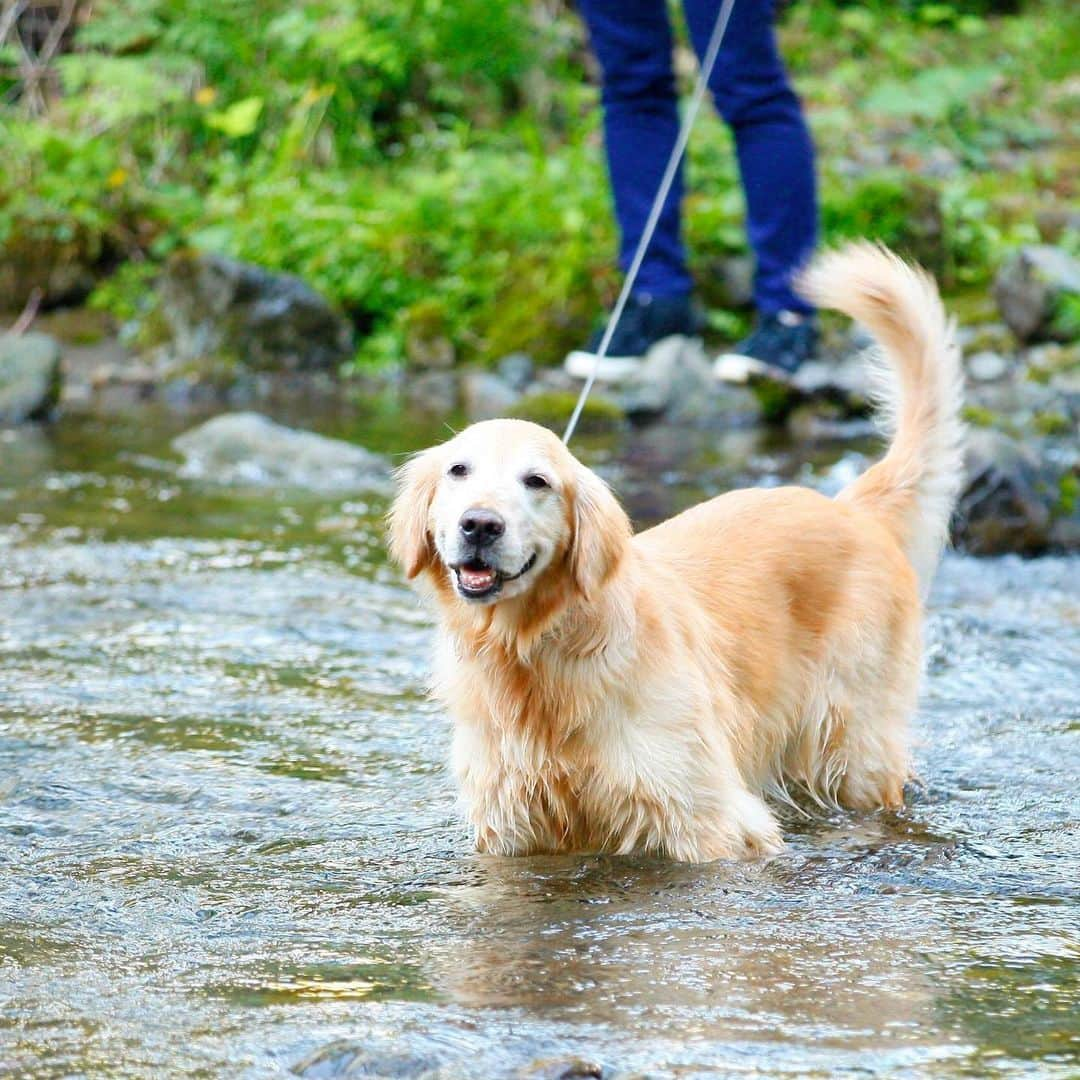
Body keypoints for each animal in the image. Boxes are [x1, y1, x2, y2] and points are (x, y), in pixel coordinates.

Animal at [388, 245, 963, 859]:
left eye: (537, 481)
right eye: (458, 470)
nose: (479, 525)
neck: (538, 656)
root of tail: (853, 508)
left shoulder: (708, 819)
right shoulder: (509, 826)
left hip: (850, 745)